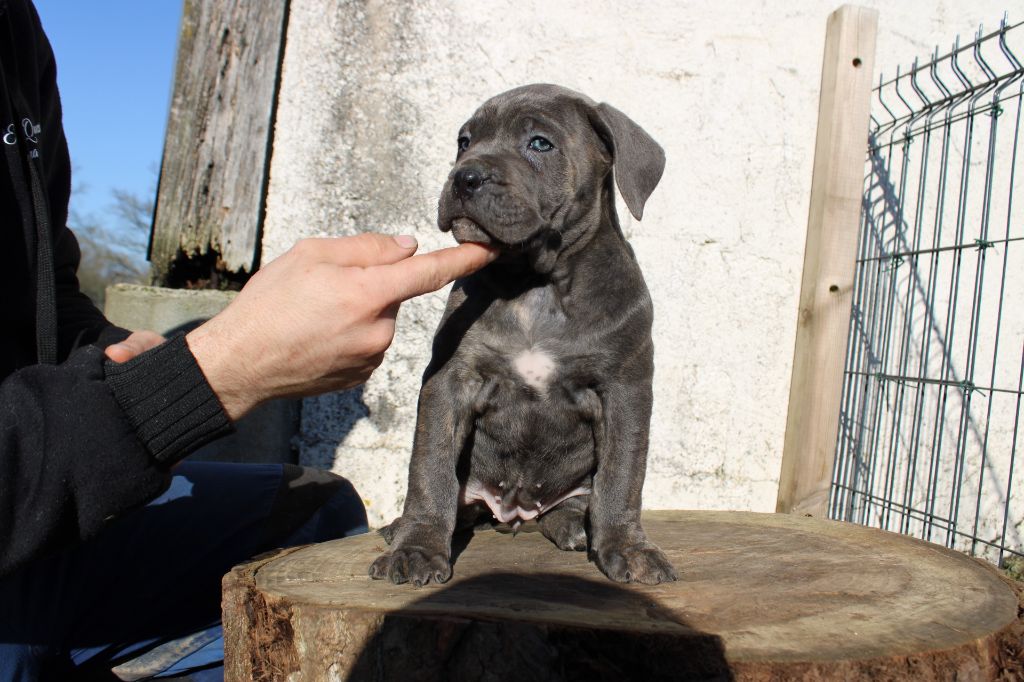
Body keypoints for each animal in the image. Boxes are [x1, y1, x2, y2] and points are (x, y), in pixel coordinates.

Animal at [370, 83, 679, 585]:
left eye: (539, 143)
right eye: (464, 141)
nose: (465, 177)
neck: (536, 284)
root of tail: (515, 513)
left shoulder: (625, 390)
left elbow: (623, 475)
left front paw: (627, 546)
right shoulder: (450, 381)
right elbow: (429, 466)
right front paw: (416, 547)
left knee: (576, 501)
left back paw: (575, 524)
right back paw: (402, 527)